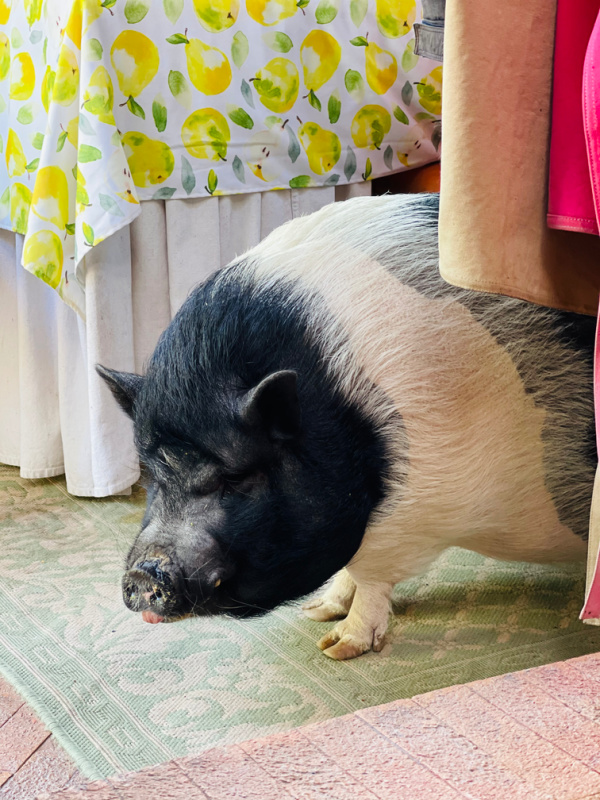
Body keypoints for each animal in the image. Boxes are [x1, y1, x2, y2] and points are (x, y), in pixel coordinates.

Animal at [98, 193, 596, 660]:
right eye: (152, 474)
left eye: (237, 478)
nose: (141, 574)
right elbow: (347, 572)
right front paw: (316, 612)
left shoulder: (409, 518)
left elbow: (371, 579)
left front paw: (337, 648)